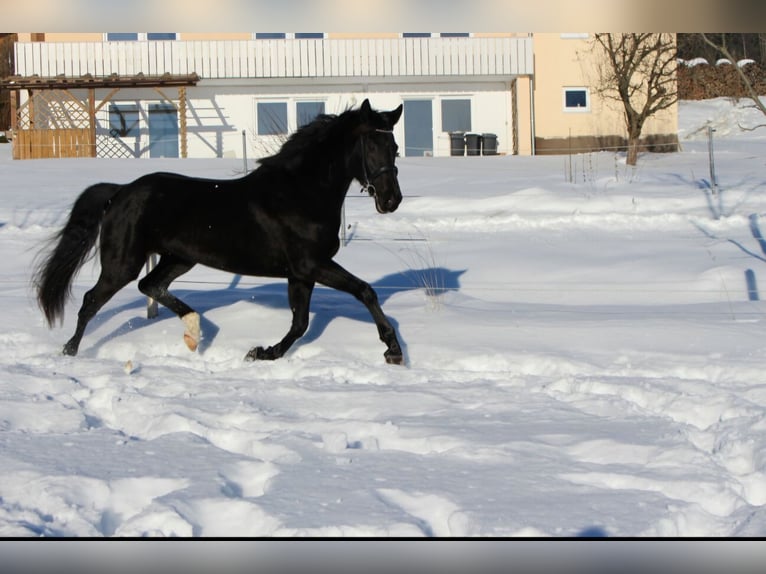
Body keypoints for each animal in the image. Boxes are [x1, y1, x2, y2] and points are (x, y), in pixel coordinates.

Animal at [34, 99, 408, 366]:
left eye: (394, 148)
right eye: (371, 146)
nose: (392, 200)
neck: (301, 193)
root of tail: (120, 191)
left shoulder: (300, 273)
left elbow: (300, 323)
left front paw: (262, 353)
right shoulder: (312, 265)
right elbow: (364, 291)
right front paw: (393, 349)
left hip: (178, 258)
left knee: (150, 285)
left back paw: (194, 331)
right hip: (123, 262)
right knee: (91, 301)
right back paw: (70, 351)